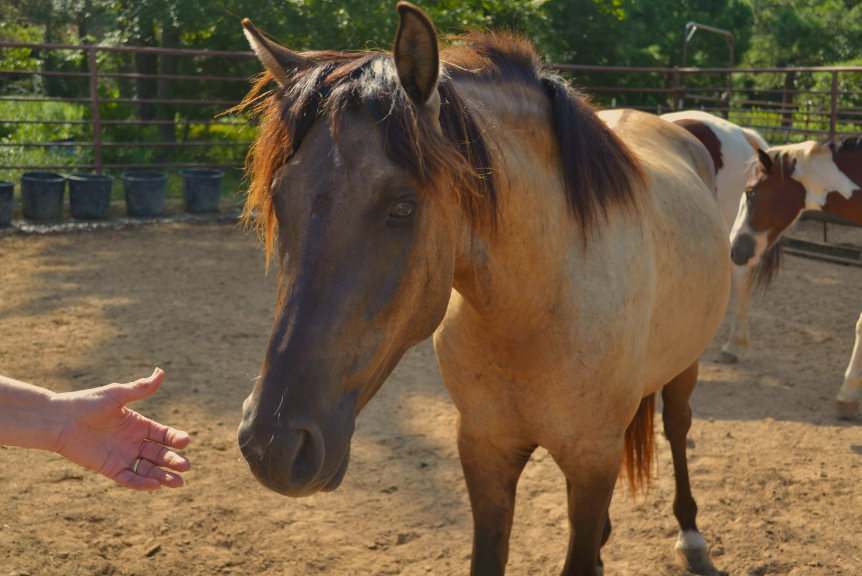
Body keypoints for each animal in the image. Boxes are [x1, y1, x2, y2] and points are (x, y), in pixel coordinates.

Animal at [234, 3, 731, 574]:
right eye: (280, 198)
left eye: (403, 206)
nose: (272, 444)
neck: (533, 314)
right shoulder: (485, 450)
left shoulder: (594, 457)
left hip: (684, 368)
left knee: (677, 426)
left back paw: (691, 535)